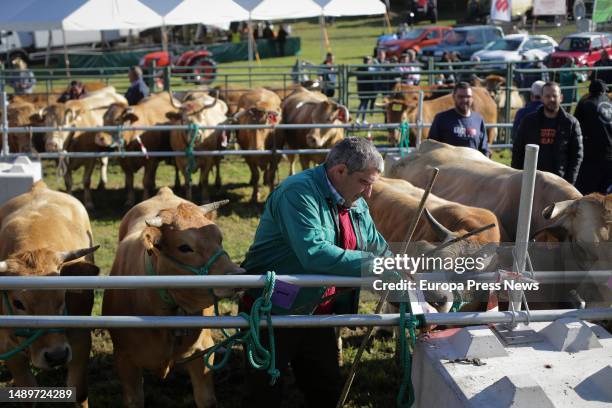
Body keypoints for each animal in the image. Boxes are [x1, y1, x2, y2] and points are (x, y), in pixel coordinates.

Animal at [0, 181, 100, 404]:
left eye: (63, 296)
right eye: (18, 303)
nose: (56, 356)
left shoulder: (80, 340)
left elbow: (78, 391)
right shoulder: (9, 348)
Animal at [101, 187, 243, 408]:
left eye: (219, 238)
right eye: (184, 247)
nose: (238, 274)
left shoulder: (203, 351)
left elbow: (205, 399)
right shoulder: (124, 359)